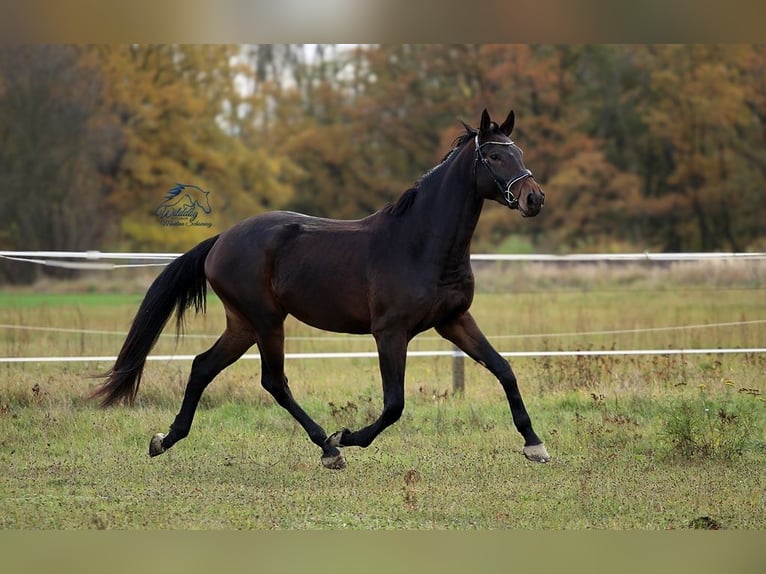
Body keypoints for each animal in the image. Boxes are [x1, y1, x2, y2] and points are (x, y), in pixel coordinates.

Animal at [91, 108, 550, 469]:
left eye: (520, 153)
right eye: (494, 155)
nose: (534, 198)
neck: (421, 242)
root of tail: (221, 240)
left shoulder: (454, 320)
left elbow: (504, 369)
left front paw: (535, 445)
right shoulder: (390, 332)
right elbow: (394, 404)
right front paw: (347, 436)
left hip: (243, 324)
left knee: (203, 366)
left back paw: (165, 440)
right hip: (266, 321)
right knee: (273, 381)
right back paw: (328, 448)